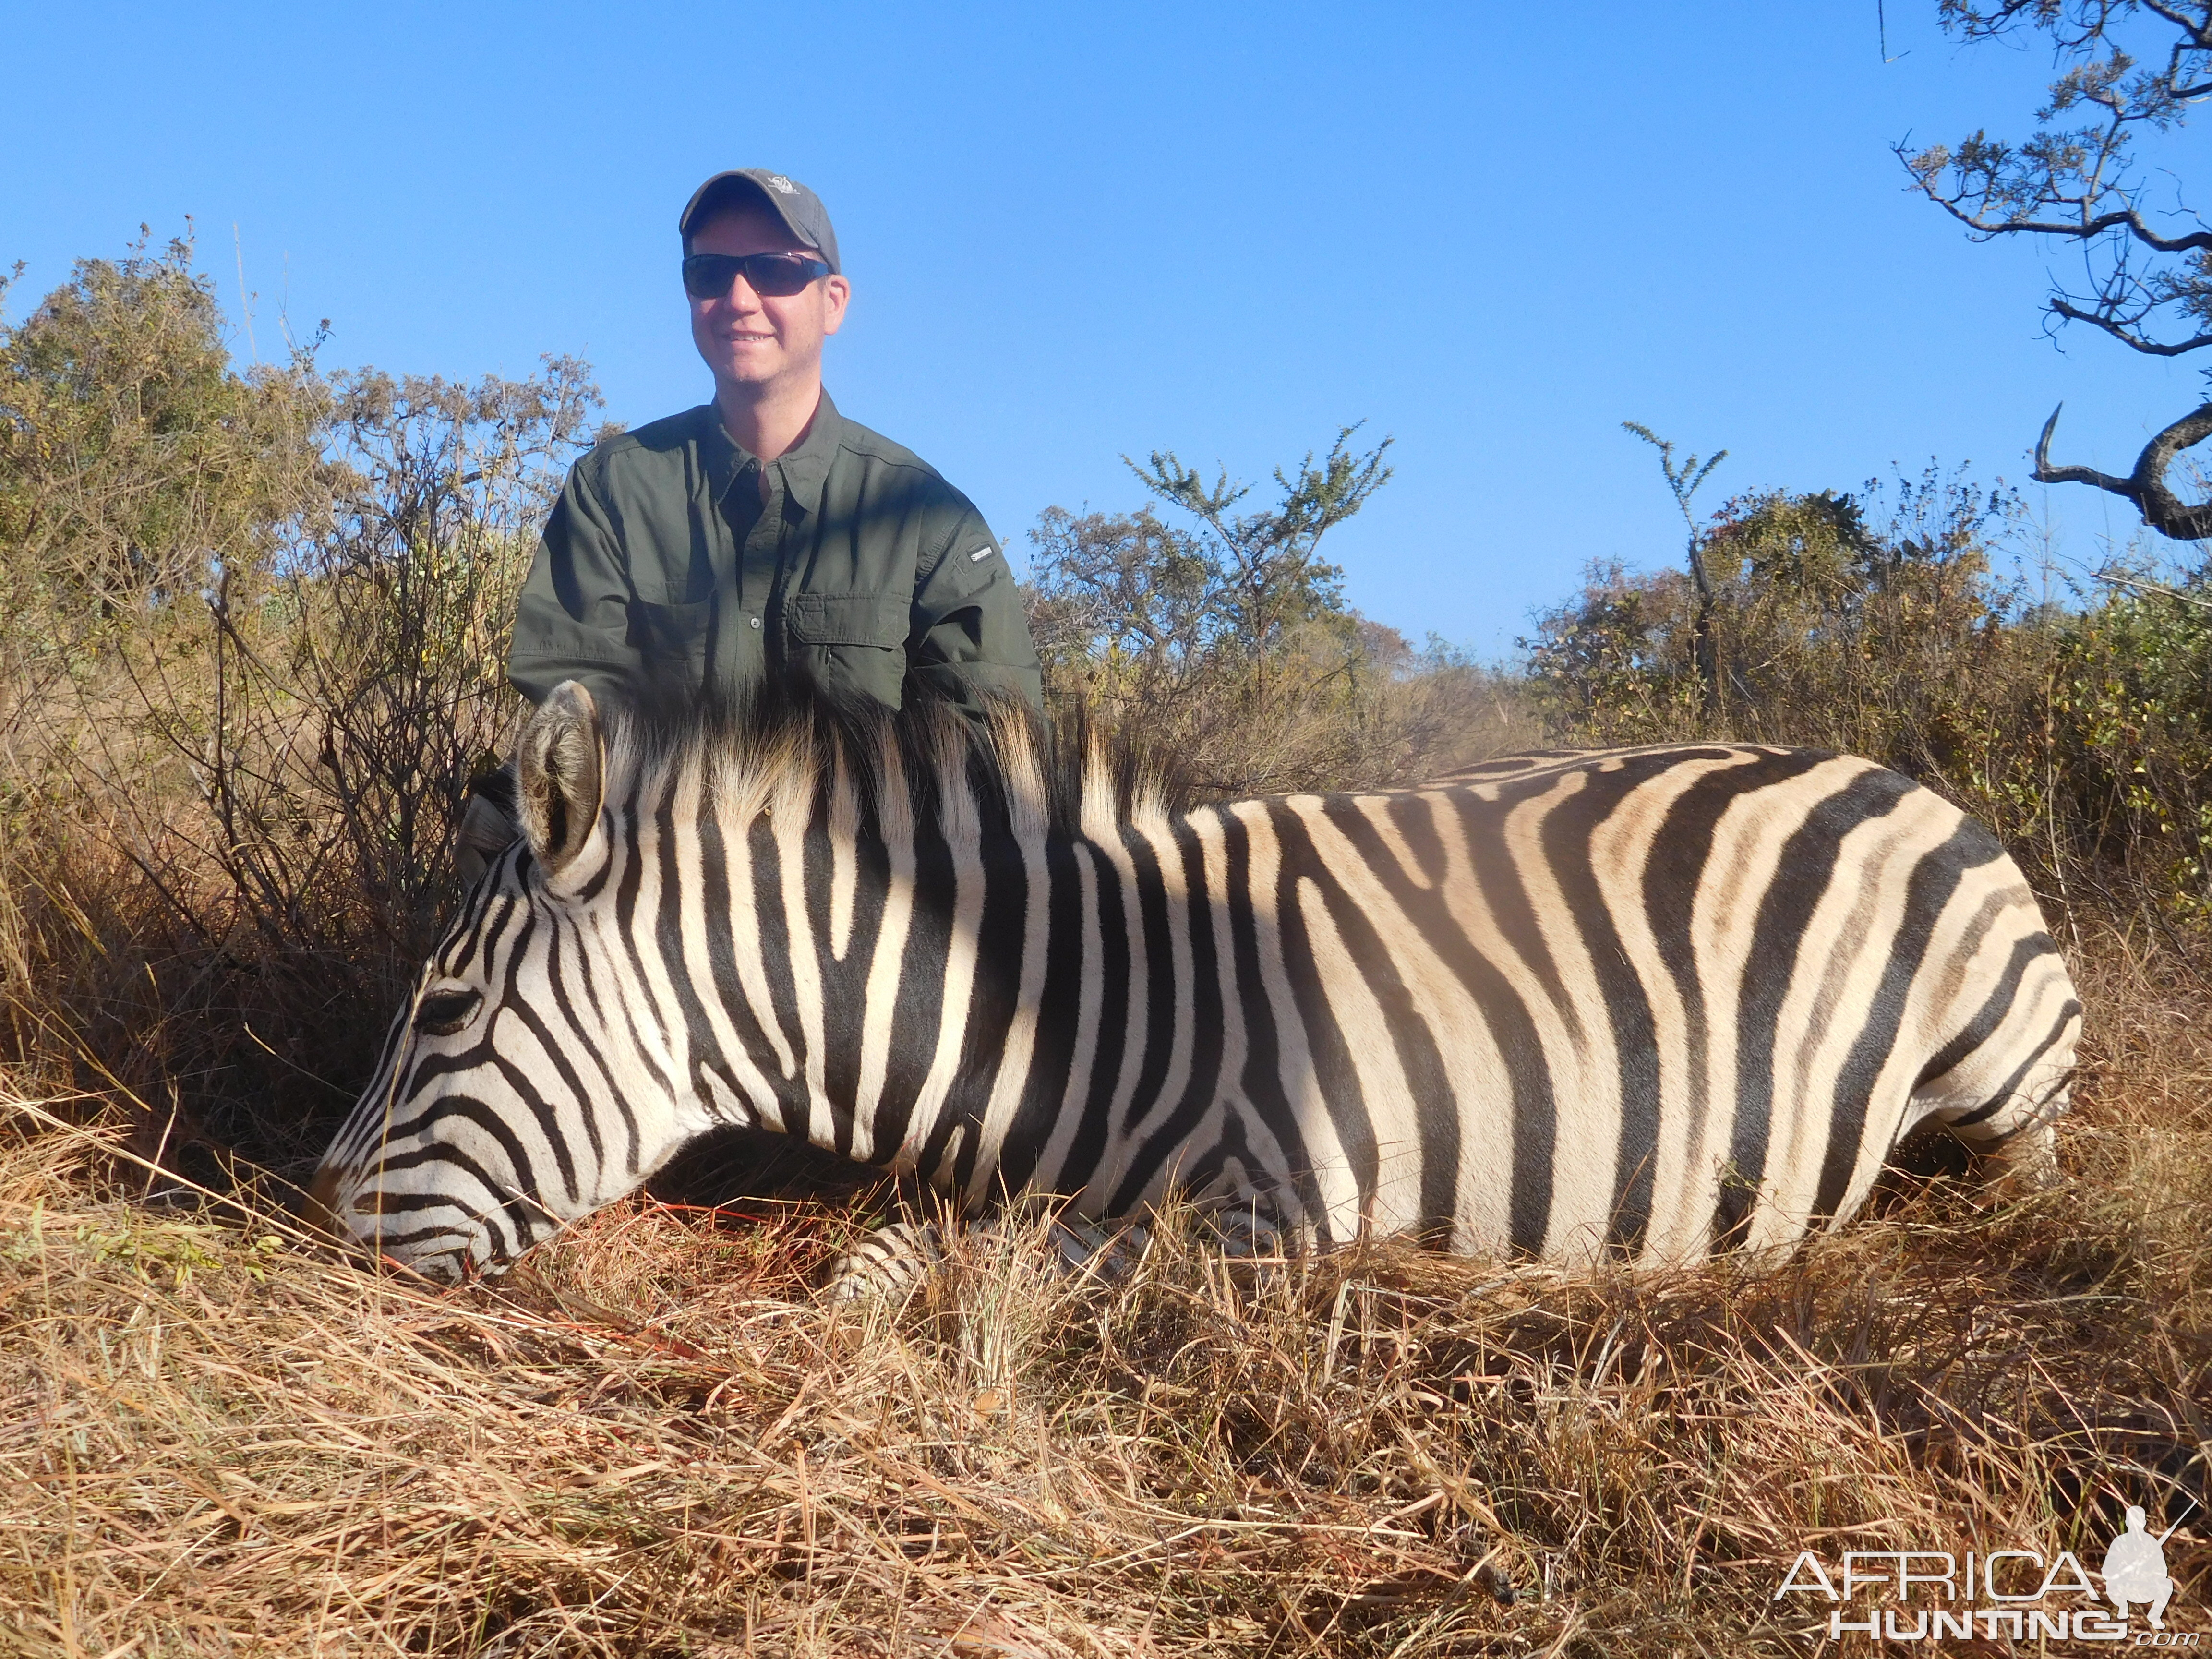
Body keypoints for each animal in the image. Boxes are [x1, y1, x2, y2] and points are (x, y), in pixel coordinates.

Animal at [303, 681, 2079, 1292]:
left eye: (442, 1014)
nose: (316, 1220)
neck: (1071, 1014)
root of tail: (1892, 769)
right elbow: (888, 1260)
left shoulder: (1275, 1215)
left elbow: (973, 1273)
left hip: (2003, 1081)